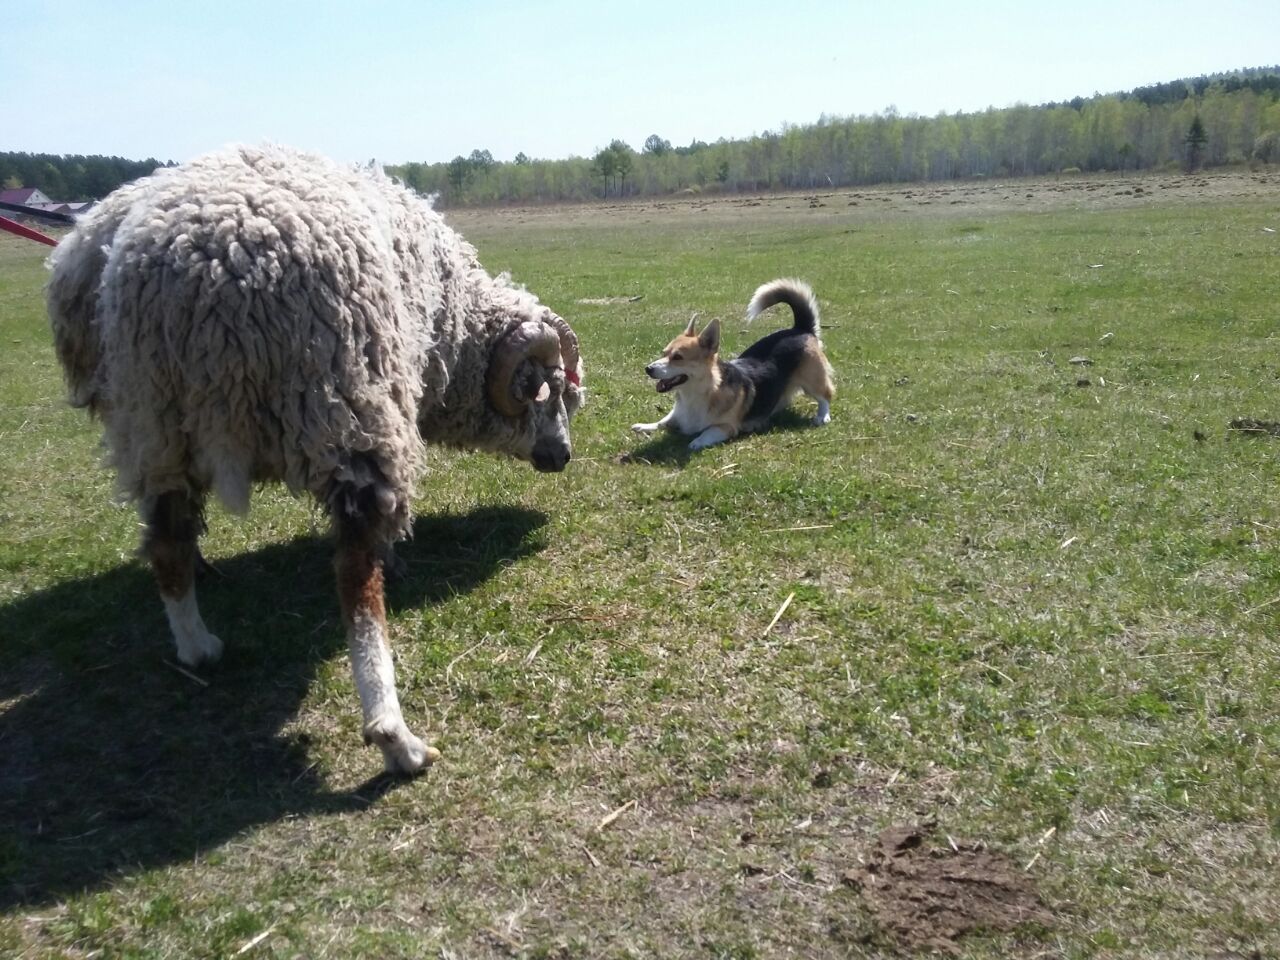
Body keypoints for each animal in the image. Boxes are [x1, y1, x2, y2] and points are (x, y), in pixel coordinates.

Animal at [46, 144, 584, 775]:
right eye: (548, 388)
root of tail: (192, 274)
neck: (451, 336)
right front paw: (396, 559)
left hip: (153, 422)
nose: (564, 455)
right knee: (355, 581)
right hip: (346, 405)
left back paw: (197, 642)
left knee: (166, 542)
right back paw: (394, 734)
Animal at [632, 279, 835, 450]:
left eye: (678, 357)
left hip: (812, 381)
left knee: (825, 396)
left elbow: (707, 431)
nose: (648, 369)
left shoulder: (726, 427)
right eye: (664, 353)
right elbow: (663, 421)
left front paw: (695, 442)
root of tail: (800, 329)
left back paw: (822, 416)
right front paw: (644, 426)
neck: (699, 393)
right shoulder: (677, 415)